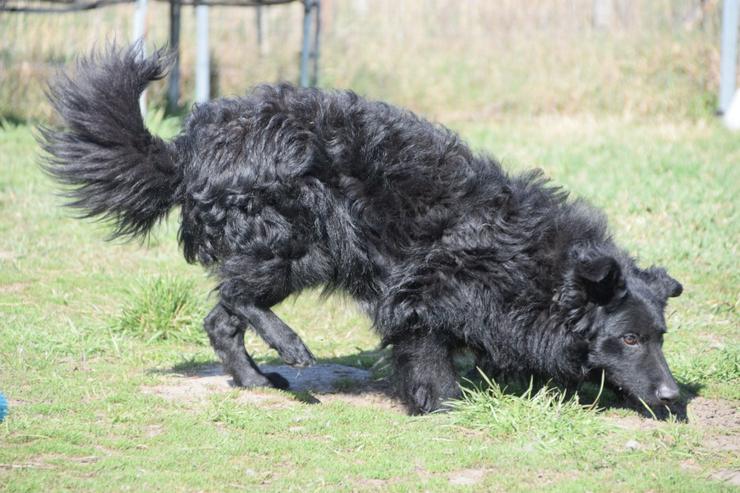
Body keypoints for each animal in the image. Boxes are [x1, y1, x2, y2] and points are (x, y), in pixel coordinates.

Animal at [43, 47, 684, 416]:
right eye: (629, 339)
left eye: (660, 337)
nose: (673, 395)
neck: (532, 262)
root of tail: (188, 149)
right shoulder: (423, 292)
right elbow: (426, 353)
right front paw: (446, 404)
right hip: (293, 236)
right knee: (237, 295)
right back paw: (290, 346)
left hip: (287, 250)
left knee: (221, 316)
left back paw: (255, 381)